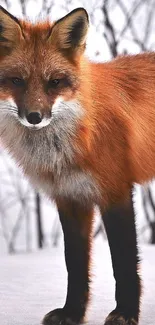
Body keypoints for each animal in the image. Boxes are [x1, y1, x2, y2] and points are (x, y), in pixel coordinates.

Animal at [0, 4, 154, 324]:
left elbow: (123, 263)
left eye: (54, 82)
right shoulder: (70, 198)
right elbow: (75, 265)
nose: (34, 117)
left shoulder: (116, 191)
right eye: (17, 80)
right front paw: (72, 313)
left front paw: (125, 313)